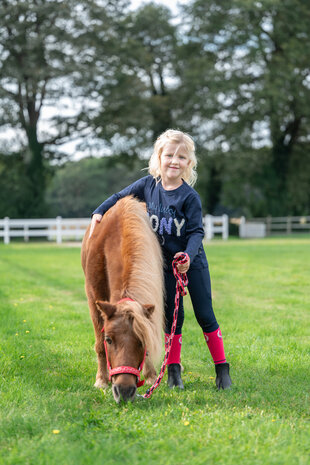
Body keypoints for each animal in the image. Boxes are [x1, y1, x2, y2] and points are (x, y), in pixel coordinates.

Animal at [81, 196, 165, 402]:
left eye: (142, 341)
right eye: (109, 339)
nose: (124, 390)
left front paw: (151, 375)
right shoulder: (93, 297)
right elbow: (98, 344)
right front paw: (101, 380)